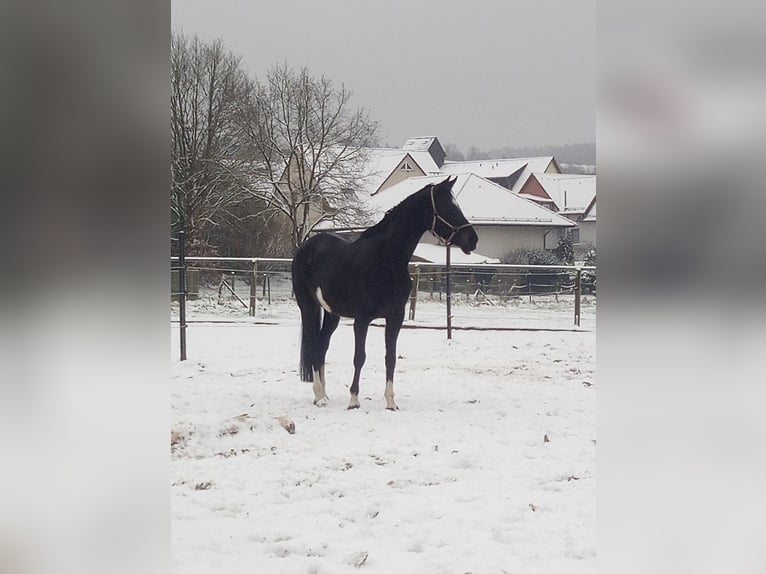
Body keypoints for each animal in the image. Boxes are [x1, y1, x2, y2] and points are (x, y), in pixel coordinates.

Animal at [292, 178, 476, 412]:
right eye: (448, 207)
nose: (473, 239)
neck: (386, 260)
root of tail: (306, 247)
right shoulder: (361, 320)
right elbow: (359, 357)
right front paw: (354, 400)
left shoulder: (395, 317)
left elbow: (391, 358)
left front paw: (391, 402)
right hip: (307, 306)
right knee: (315, 343)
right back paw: (319, 396)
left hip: (332, 313)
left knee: (322, 344)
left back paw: (323, 394)